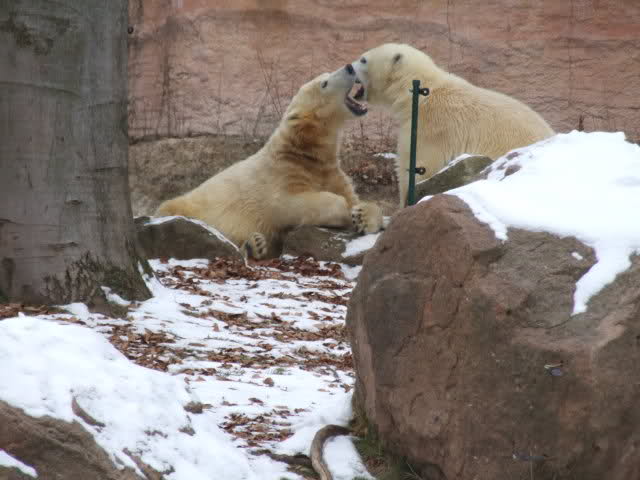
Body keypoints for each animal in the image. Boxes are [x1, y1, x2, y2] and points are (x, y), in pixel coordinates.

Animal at [155, 64, 383, 259]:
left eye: (327, 74)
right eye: (324, 83)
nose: (350, 67)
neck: (304, 151)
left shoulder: (329, 170)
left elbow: (355, 198)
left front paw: (362, 216)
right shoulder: (281, 174)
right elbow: (287, 204)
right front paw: (344, 209)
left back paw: (255, 245)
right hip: (186, 206)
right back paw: (251, 245)